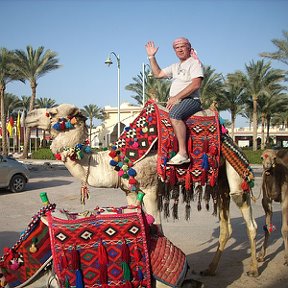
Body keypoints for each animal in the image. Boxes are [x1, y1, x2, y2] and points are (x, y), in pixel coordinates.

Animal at [17, 100, 258, 286]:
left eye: (52, 112)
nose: (27, 116)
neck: (115, 162)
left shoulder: (151, 188)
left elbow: (157, 225)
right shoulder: (130, 191)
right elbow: (138, 218)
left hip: (235, 173)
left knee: (248, 215)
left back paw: (254, 269)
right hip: (219, 184)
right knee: (226, 224)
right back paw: (210, 269)